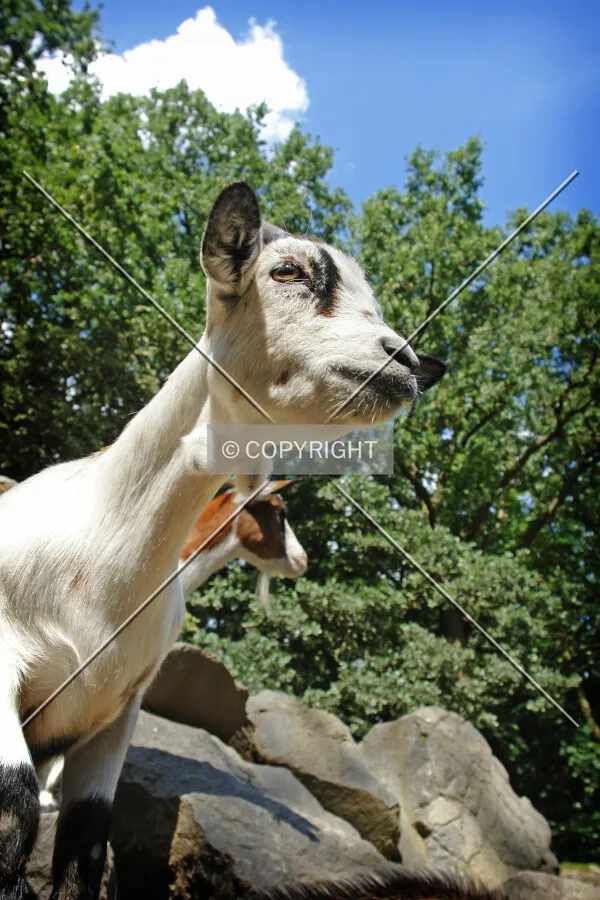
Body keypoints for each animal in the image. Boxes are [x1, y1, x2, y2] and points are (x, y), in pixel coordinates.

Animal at [0, 181, 445, 900]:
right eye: (287, 271)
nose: (404, 362)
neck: (102, 556)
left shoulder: (113, 716)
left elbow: (85, 851)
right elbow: (15, 814)